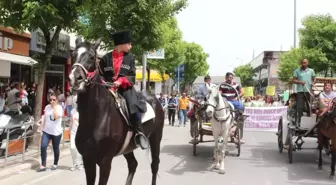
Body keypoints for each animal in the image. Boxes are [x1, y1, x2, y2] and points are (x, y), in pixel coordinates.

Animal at [69, 38, 165, 184]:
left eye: (91, 57)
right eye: (73, 54)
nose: (75, 78)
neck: (97, 117)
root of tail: (154, 98)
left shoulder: (105, 162)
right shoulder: (88, 160)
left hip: (156, 137)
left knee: (154, 165)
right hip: (128, 148)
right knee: (133, 164)